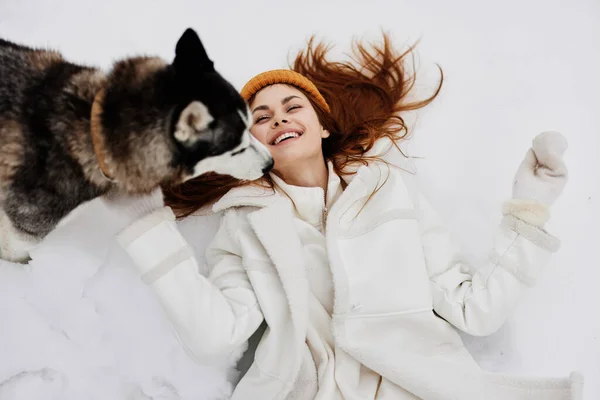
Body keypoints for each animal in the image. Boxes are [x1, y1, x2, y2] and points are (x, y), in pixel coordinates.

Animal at [0, 26, 274, 260]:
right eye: (236, 149)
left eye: (250, 127)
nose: (269, 164)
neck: (96, 130)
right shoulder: (27, 226)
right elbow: (15, 250)